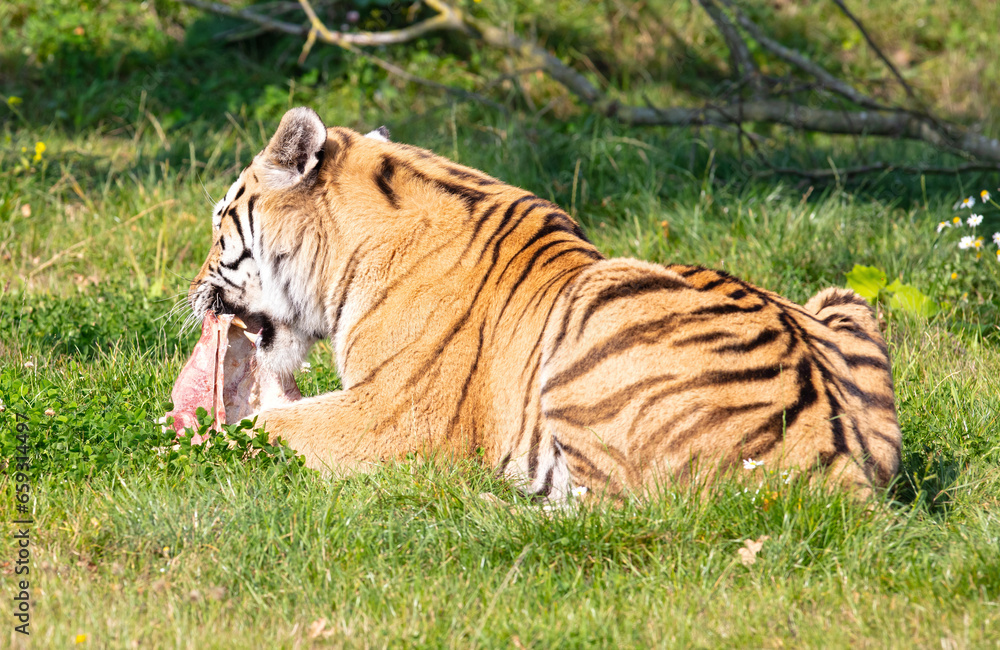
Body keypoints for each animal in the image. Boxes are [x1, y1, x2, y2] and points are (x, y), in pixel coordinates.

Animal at [187, 106, 901, 500]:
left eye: (221, 226)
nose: (191, 292)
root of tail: (839, 457)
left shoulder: (392, 416)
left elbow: (269, 427)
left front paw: (196, 435)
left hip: (600, 305)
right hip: (844, 301)